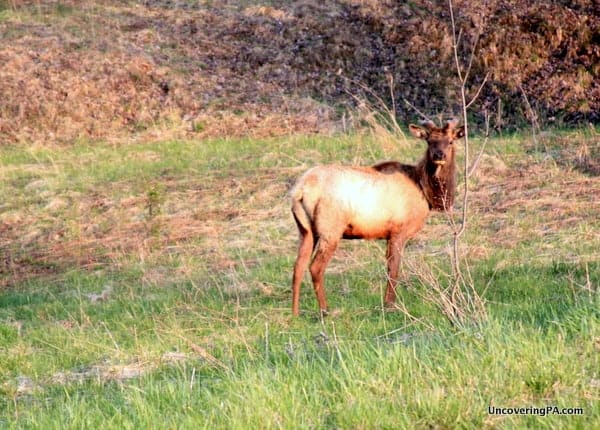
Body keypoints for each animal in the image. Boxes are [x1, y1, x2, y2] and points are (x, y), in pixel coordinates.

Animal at [290, 120, 464, 316]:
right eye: (429, 141)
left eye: (450, 141)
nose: (439, 155)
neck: (425, 191)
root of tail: (300, 189)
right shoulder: (398, 230)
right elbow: (393, 269)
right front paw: (390, 306)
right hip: (331, 229)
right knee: (315, 267)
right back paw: (325, 310)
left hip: (305, 230)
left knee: (298, 267)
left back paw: (295, 313)